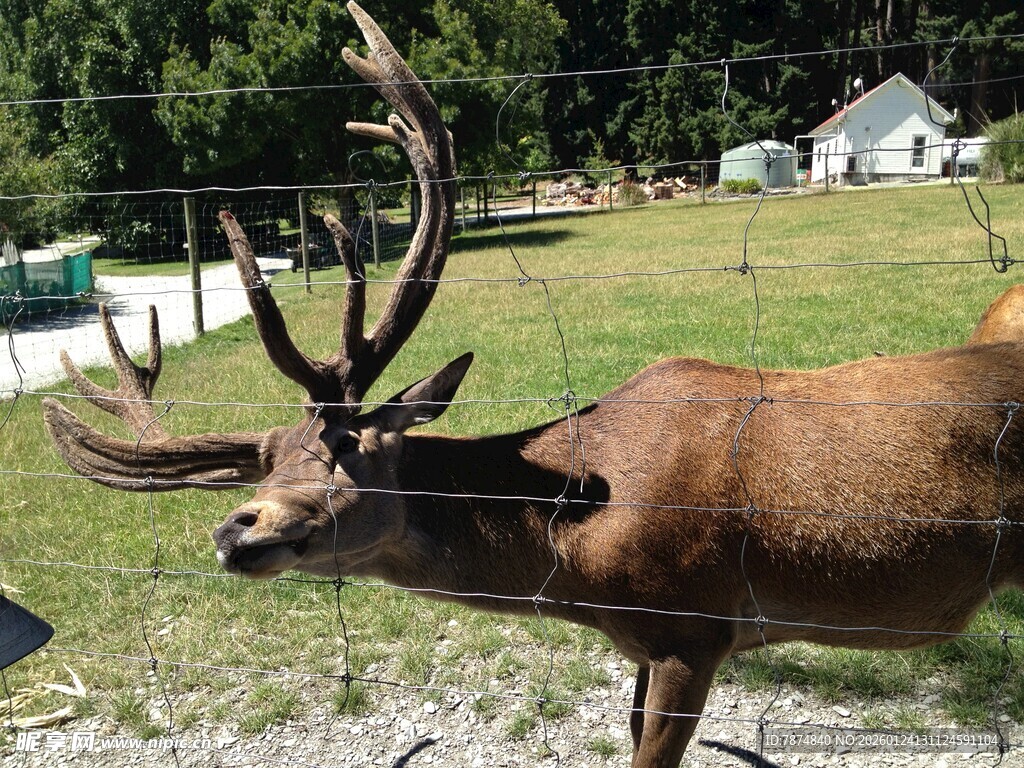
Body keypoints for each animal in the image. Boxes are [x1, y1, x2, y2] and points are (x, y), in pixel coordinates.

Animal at [41, 4, 1024, 767]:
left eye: (348, 444)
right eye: (263, 464)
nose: (237, 529)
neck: (582, 559)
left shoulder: (695, 626)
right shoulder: (645, 645)